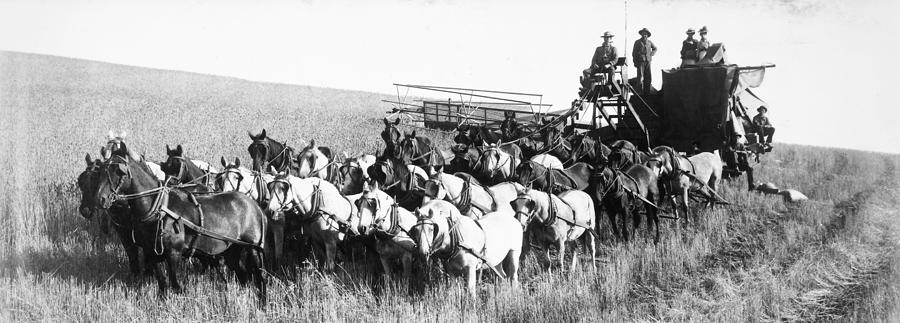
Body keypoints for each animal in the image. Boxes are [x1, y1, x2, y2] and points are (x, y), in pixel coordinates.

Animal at [98, 153, 268, 306]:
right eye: (102, 172)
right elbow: (162, 285)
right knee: (242, 275)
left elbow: (176, 285)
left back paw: (263, 304)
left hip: (253, 248)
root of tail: (254, 205)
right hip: (232, 250)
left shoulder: (174, 253)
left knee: (260, 277)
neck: (160, 208)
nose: (101, 199)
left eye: (118, 171)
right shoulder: (151, 253)